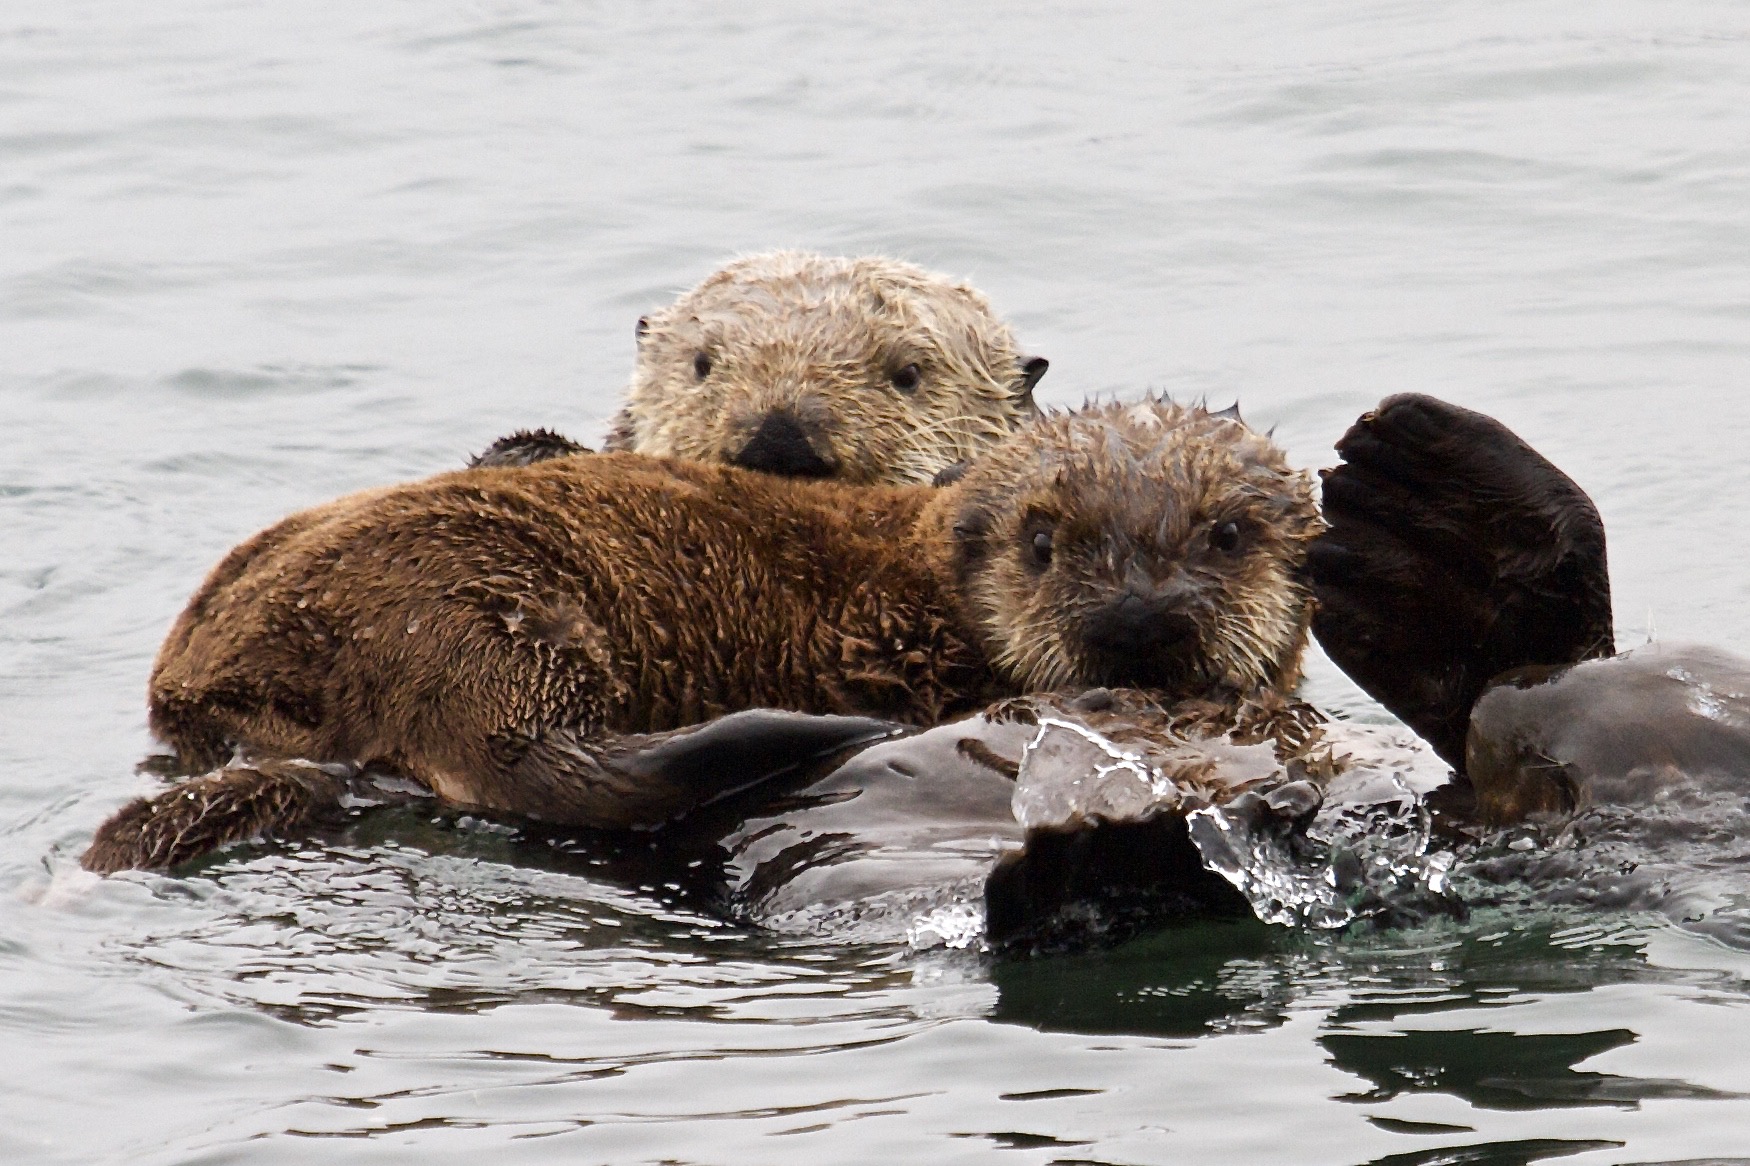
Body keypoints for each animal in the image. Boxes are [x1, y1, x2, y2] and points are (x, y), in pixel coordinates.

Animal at [84, 399, 1321, 873]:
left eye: (1227, 534)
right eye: (1044, 542)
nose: (1140, 620)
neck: (921, 579)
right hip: (462, 599)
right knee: (539, 765)